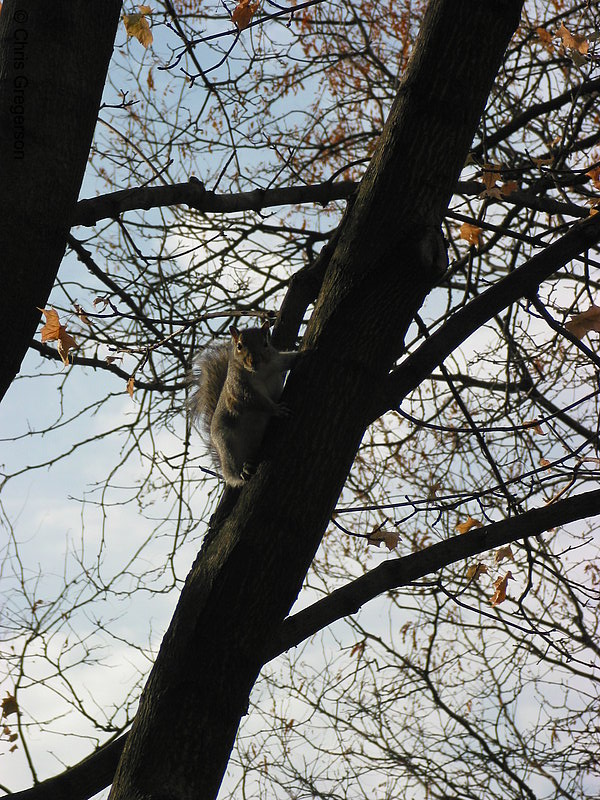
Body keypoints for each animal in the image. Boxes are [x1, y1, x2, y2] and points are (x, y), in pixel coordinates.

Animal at [189, 320, 298, 488]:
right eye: (239, 346)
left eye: (265, 343)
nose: (254, 361)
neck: (260, 371)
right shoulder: (239, 389)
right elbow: (255, 401)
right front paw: (277, 409)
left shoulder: (276, 361)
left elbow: (289, 359)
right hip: (226, 444)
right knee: (233, 472)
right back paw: (242, 472)